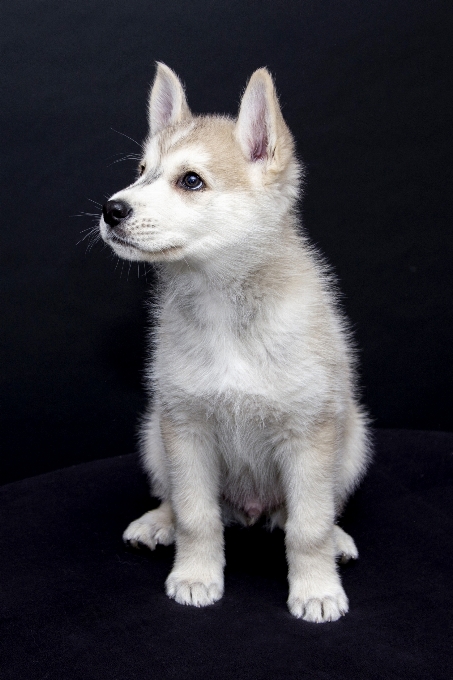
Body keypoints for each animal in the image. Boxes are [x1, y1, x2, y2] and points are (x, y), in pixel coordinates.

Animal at [98, 62, 368, 620]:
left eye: (191, 180)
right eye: (141, 170)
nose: (111, 210)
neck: (226, 313)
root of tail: (249, 511)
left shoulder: (309, 436)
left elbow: (308, 527)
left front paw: (316, 589)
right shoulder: (186, 430)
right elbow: (195, 516)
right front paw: (196, 576)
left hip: (353, 439)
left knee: (315, 512)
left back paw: (336, 539)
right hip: (153, 435)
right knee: (178, 501)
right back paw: (157, 521)